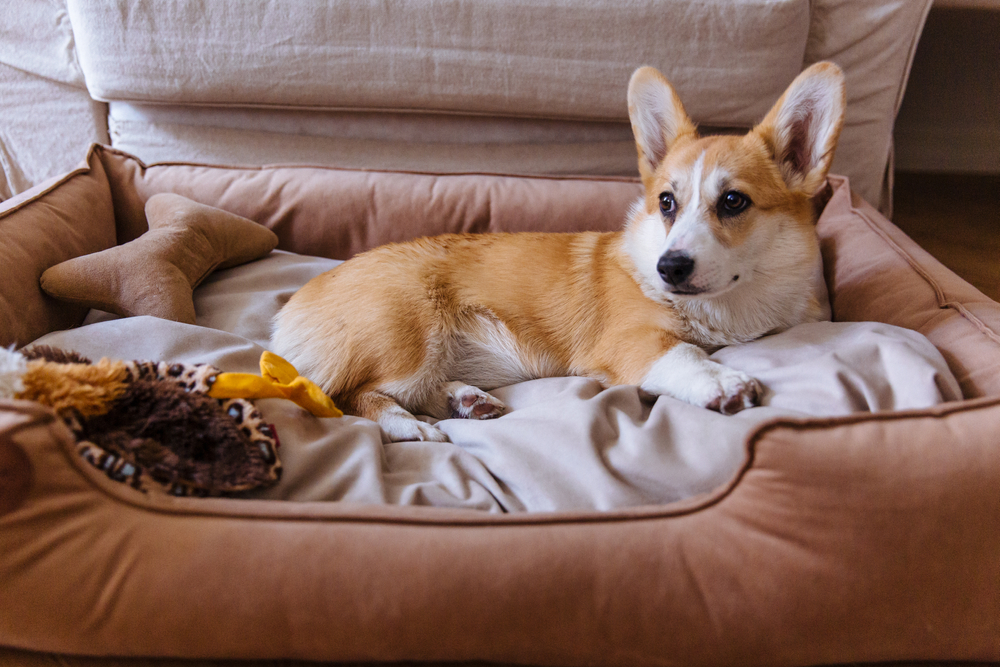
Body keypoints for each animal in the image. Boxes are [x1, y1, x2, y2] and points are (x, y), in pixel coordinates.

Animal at [272, 62, 844, 444]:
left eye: (733, 201)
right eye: (667, 202)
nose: (669, 268)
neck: (730, 309)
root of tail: (291, 308)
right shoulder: (632, 342)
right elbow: (684, 354)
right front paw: (722, 382)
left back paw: (467, 400)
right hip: (408, 339)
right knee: (352, 395)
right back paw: (410, 427)